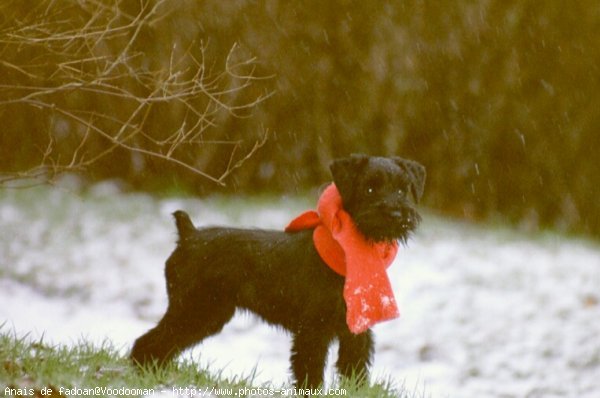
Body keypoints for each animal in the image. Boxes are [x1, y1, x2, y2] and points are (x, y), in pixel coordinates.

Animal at [131, 154, 424, 388]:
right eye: (370, 188)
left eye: (402, 189)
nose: (397, 214)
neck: (348, 252)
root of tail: (188, 236)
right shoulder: (312, 330)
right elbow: (310, 369)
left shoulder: (356, 330)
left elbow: (354, 366)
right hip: (193, 310)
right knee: (150, 341)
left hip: (206, 314)